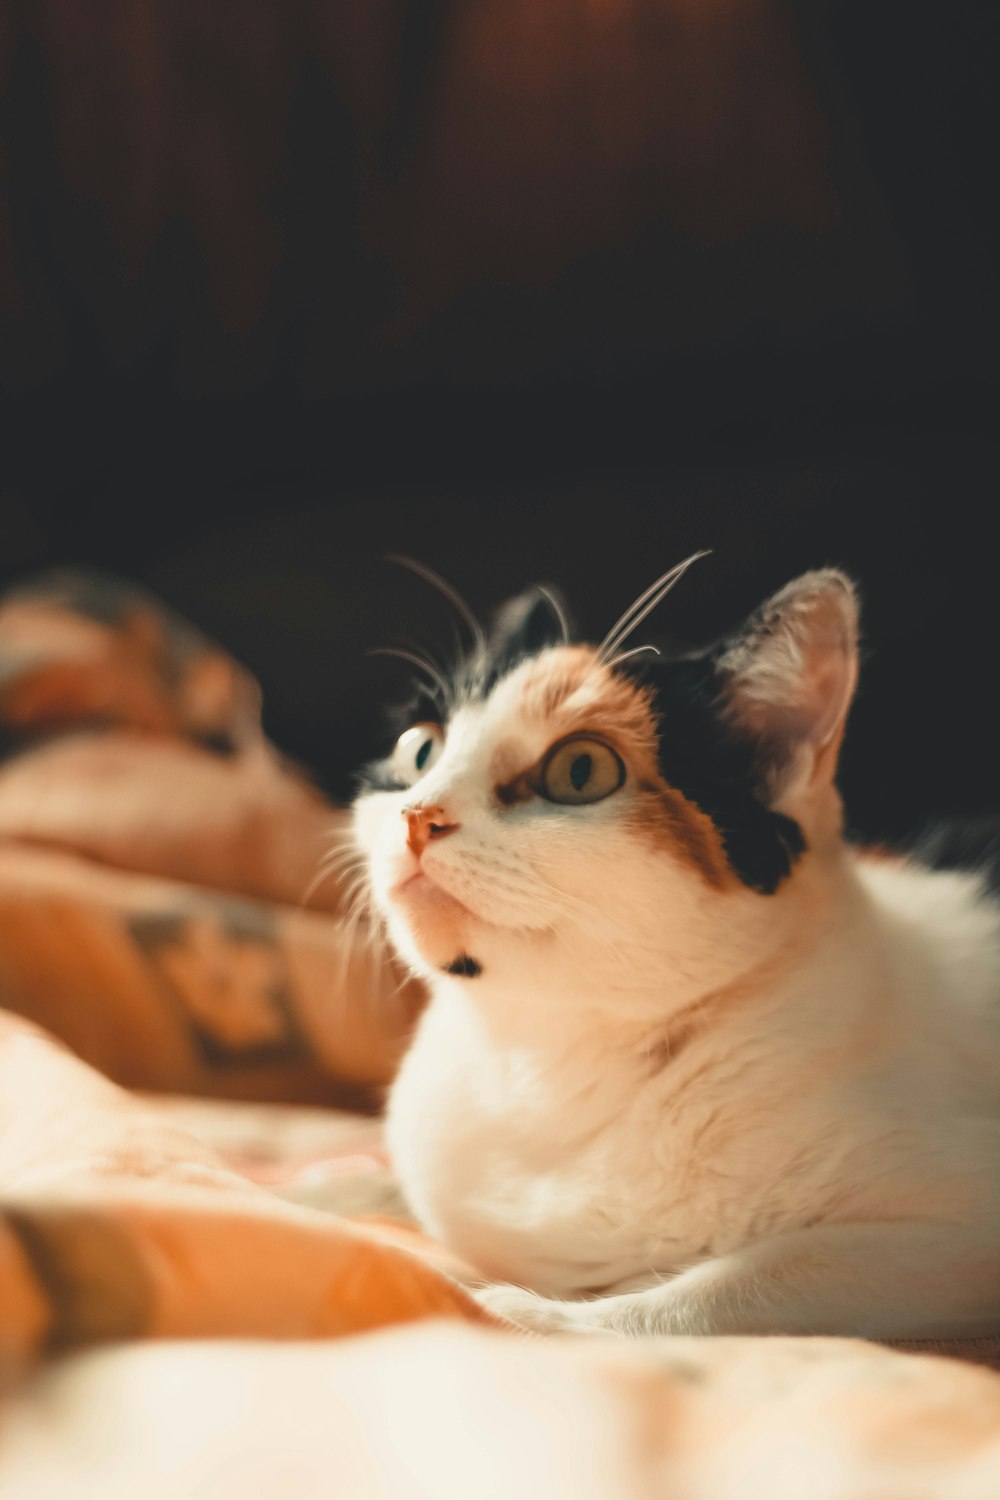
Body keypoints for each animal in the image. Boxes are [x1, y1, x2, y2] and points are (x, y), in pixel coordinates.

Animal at [350, 561, 1000, 1338]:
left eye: (580, 771)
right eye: (419, 749)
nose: (417, 815)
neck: (549, 1064)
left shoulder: (959, 1232)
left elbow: (733, 1283)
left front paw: (532, 1313)